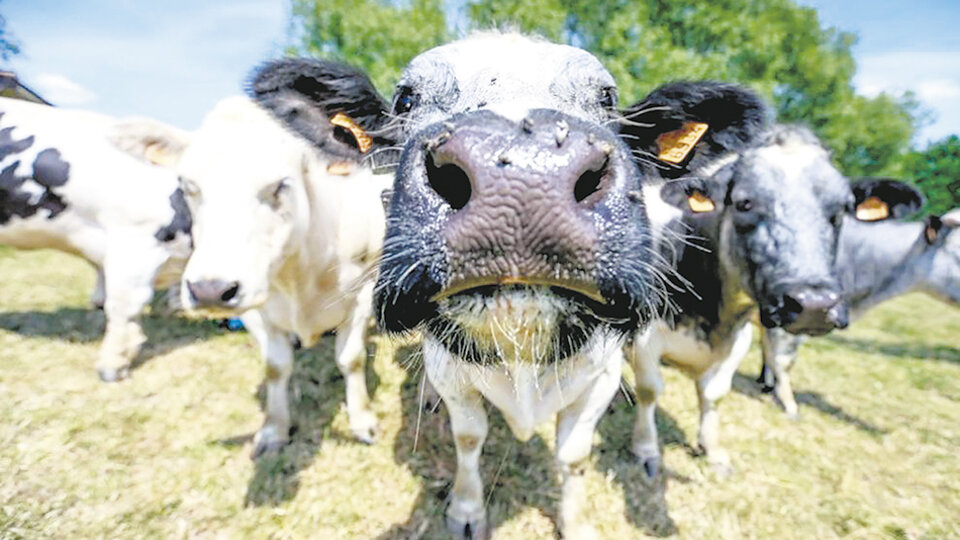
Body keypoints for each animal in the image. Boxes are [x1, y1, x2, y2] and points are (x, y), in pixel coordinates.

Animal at [112, 93, 394, 456]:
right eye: (188, 186)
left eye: (280, 185)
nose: (210, 289)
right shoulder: (254, 311)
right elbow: (275, 367)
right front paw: (274, 430)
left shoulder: (361, 295)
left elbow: (351, 359)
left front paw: (363, 422)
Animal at [242, 31, 772, 536]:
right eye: (406, 99)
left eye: (607, 99)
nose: (521, 177)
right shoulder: (453, 376)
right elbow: (469, 438)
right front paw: (466, 510)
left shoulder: (601, 379)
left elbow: (574, 455)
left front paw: (576, 522)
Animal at [624, 123, 924, 476]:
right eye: (744, 203)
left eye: (840, 211)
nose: (814, 304)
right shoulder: (644, 338)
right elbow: (650, 389)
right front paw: (646, 450)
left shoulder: (738, 339)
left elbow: (715, 393)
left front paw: (712, 450)